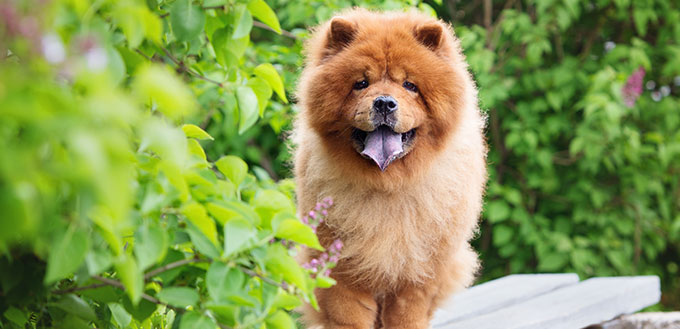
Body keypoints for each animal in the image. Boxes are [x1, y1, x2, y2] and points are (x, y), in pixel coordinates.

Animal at [292, 8, 488, 328]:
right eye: (361, 83)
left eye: (410, 85)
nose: (384, 102)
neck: (388, 186)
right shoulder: (342, 272)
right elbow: (349, 318)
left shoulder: (418, 274)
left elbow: (407, 317)